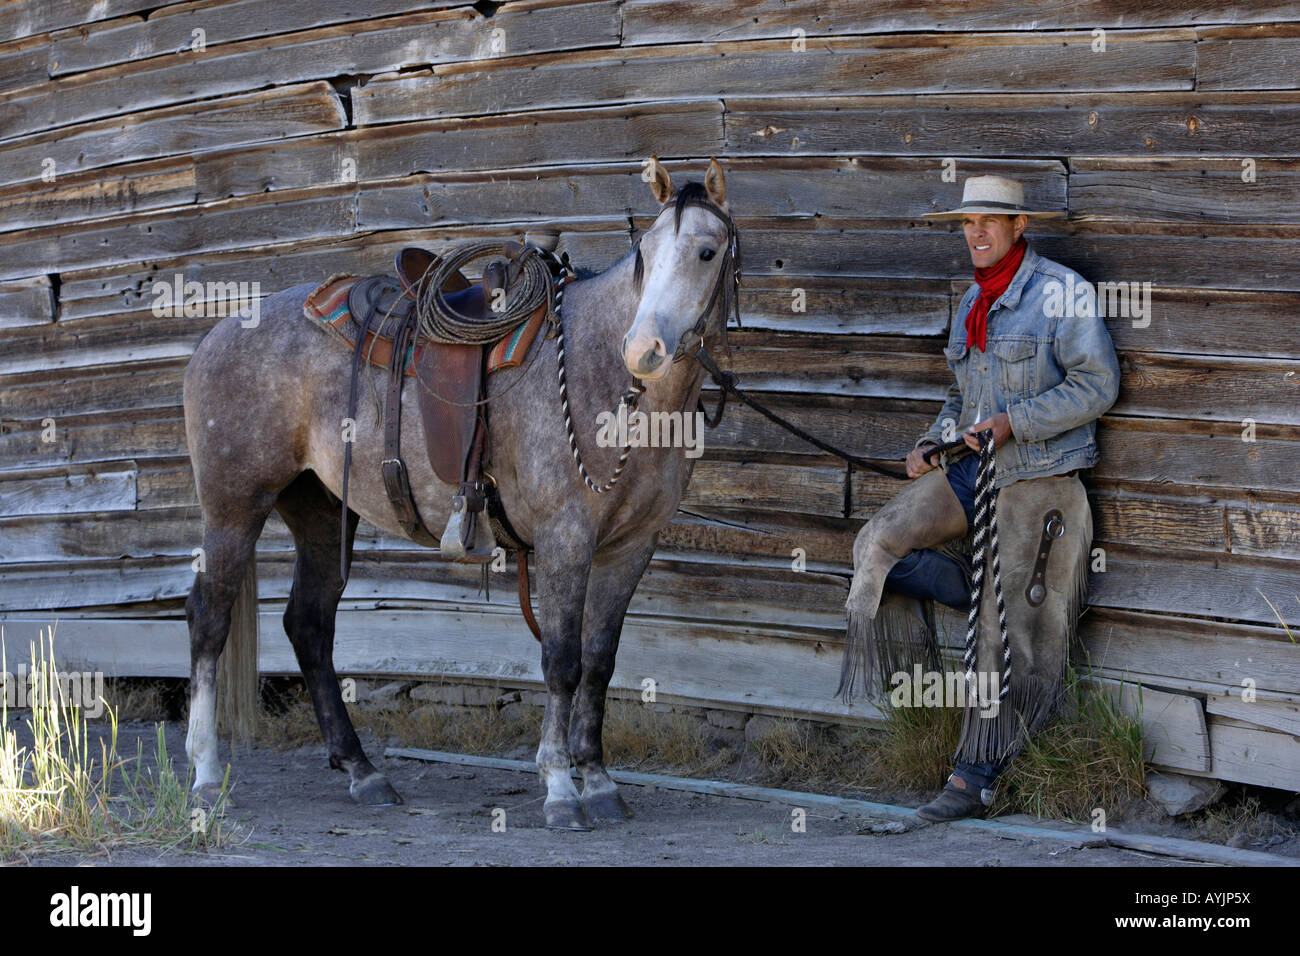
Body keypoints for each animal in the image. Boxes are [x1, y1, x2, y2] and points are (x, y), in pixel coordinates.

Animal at [180, 158, 743, 832]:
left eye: (706, 252)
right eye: (645, 254)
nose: (643, 350)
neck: (609, 382)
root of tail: (217, 335)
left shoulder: (632, 546)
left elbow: (601, 661)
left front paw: (601, 782)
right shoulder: (566, 537)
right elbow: (563, 660)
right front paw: (560, 788)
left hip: (318, 510)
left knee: (309, 625)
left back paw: (363, 771)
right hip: (234, 506)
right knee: (209, 618)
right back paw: (206, 772)